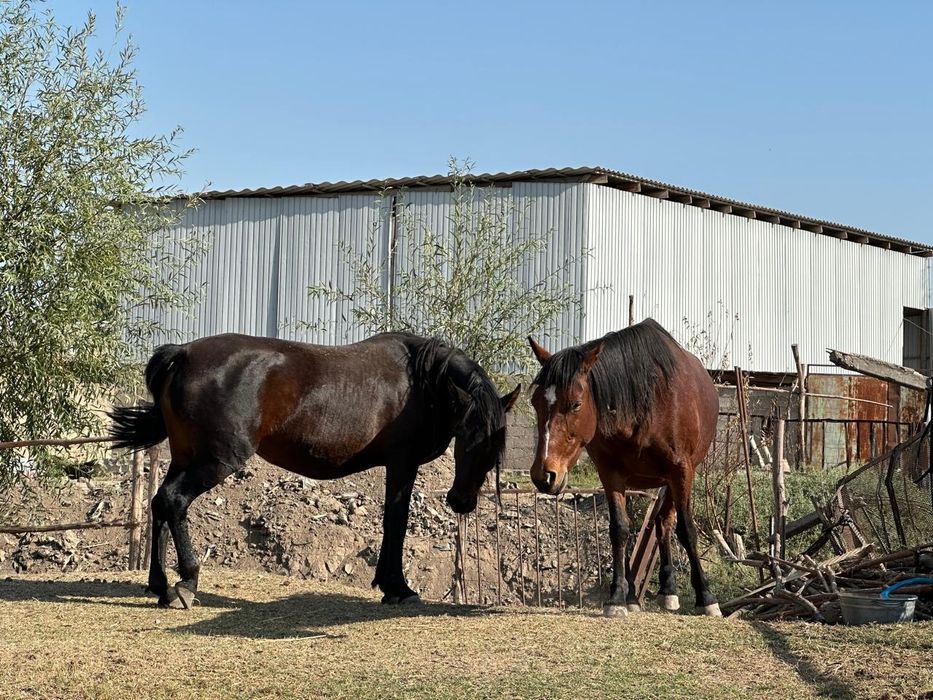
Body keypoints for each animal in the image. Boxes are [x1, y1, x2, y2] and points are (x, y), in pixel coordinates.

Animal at [110, 332, 520, 609]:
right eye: (467, 438)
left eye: (493, 445)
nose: (461, 501)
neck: (422, 383)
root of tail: (183, 353)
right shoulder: (402, 464)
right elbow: (396, 522)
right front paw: (398, 587)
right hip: (215, 461)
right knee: (173, 501)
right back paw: (186, 583)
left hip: (185, 457)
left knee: (159, 505)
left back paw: (160, 585)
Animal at [526, 318, 721, 617]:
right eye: (535, 402)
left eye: (576, 404)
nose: (543, 475)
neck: (645, 404)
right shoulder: (611, 474)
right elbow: (619, 529)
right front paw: (617, 596)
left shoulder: (682, 470)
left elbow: (687, 530)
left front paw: (706, 597)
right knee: (649, 525)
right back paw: (640, 594)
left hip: (673, 479)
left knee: (665, 523)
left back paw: (669, 591)